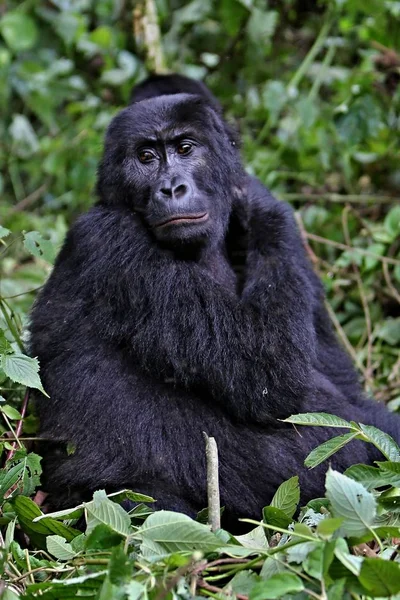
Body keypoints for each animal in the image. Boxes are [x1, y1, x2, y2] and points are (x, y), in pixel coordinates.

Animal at [29, 72, 400, 528]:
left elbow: (340, 380)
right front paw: (255, 205)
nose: (172, 188)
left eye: (186, 149)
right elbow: (268, 372)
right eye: (146, 157)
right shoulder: (110, 241)